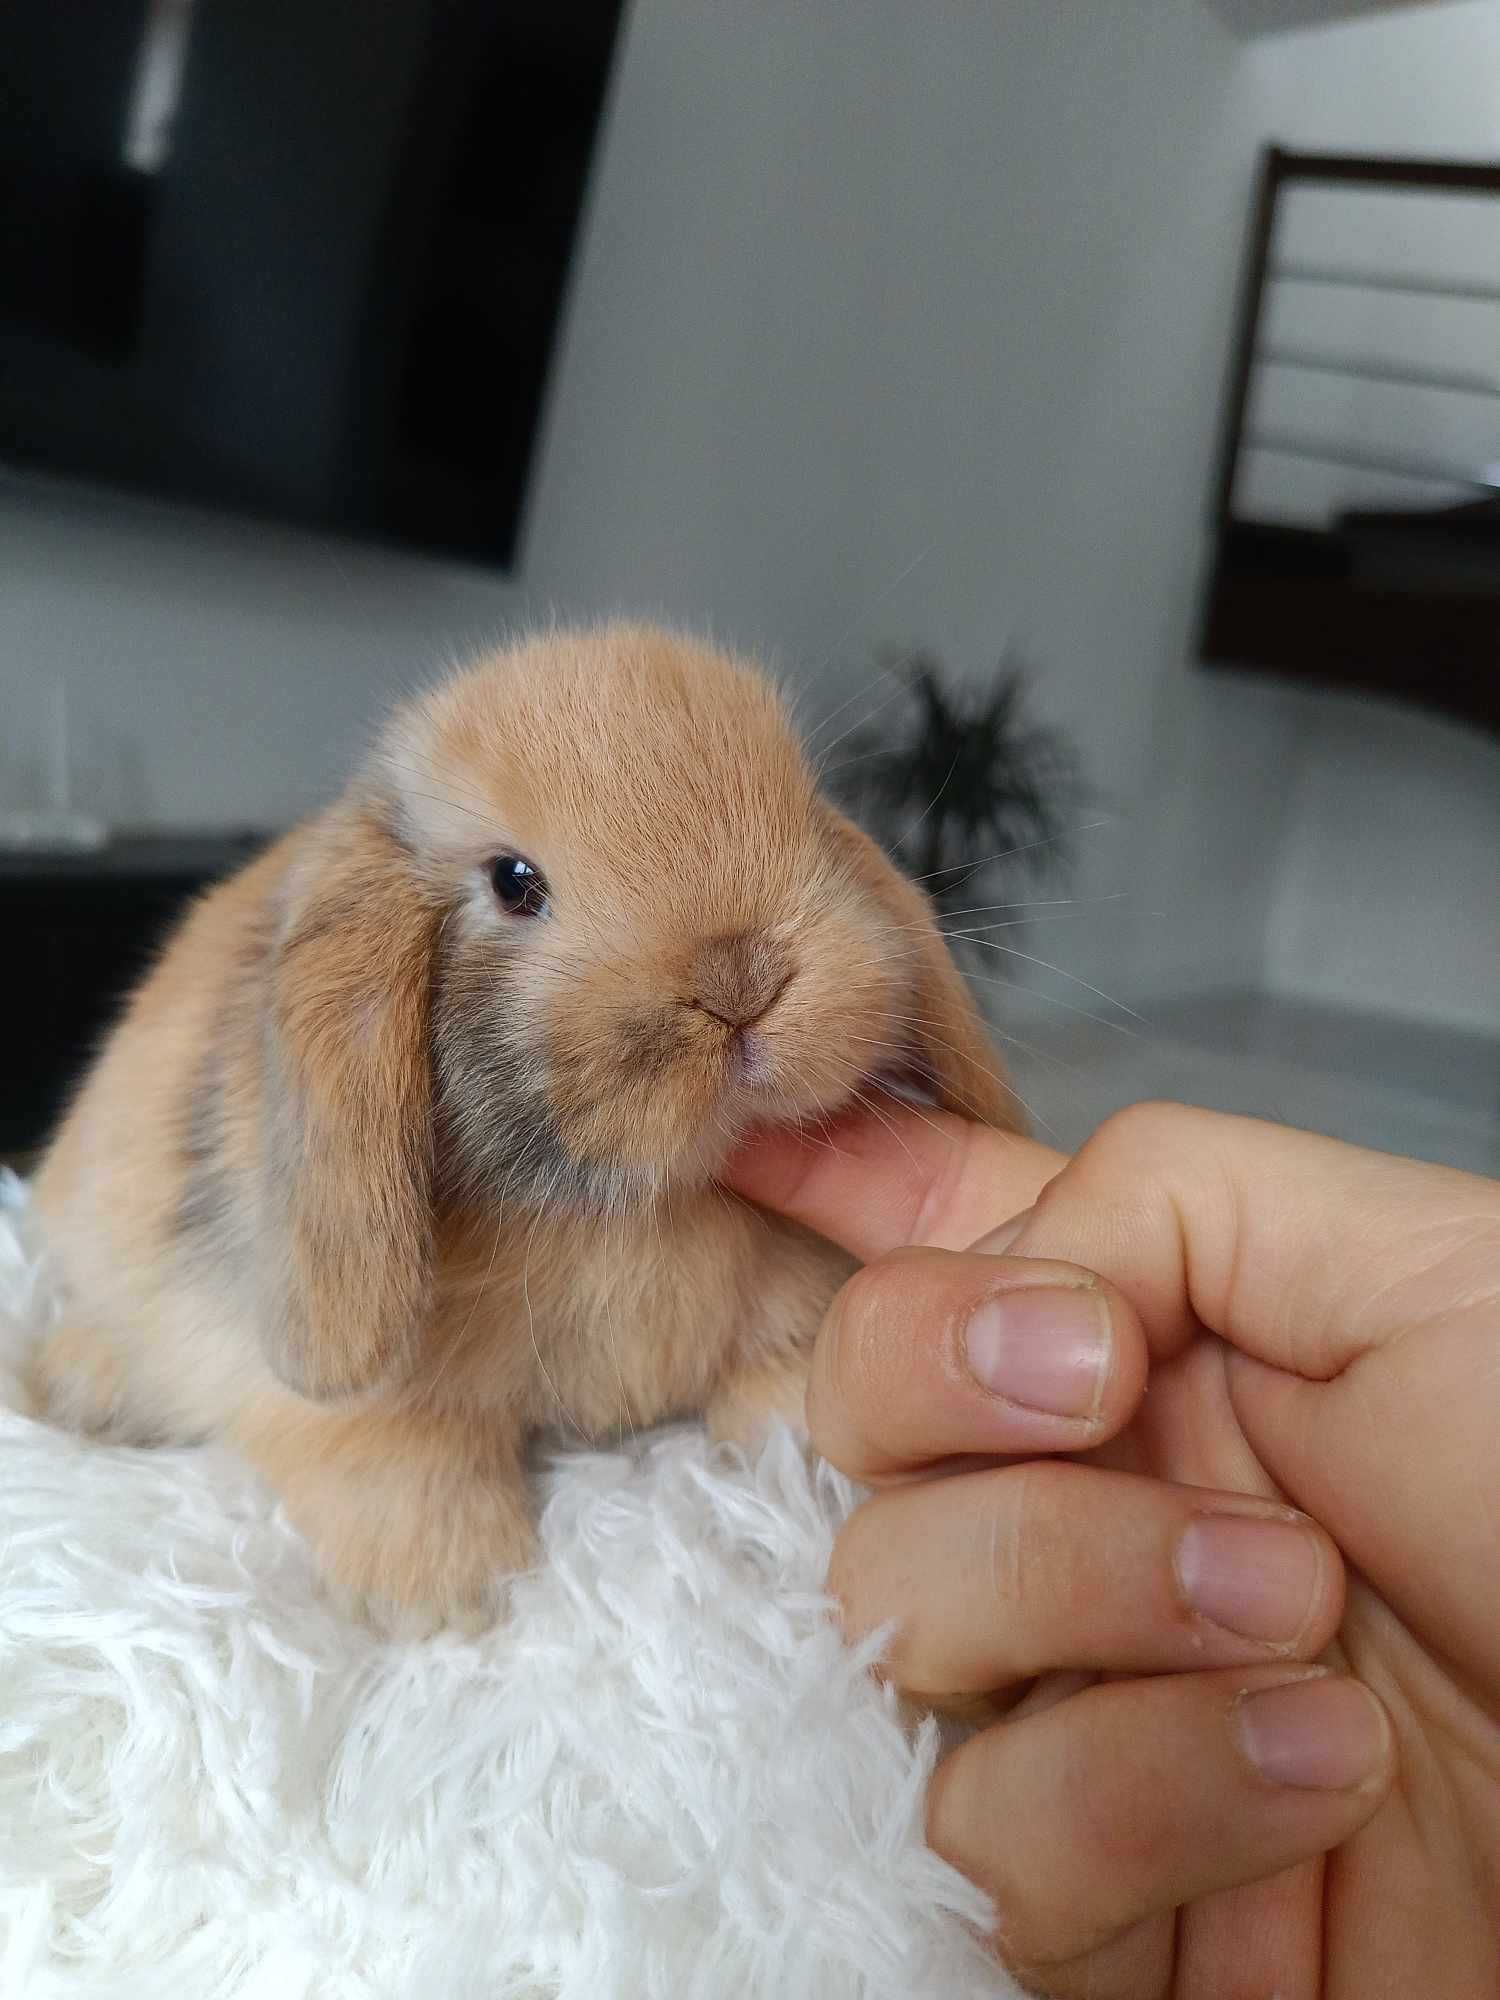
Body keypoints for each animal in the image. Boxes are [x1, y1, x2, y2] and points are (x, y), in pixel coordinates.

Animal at [32, 620, 1024, 1624]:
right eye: (514, 882)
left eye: (805, 806)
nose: (740, 980)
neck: (624, 1211)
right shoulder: (362, 1410)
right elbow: (408, 1480)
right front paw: (459, 1606)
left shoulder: (788, 1327)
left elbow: (781, 1400)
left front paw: (805, 1484)